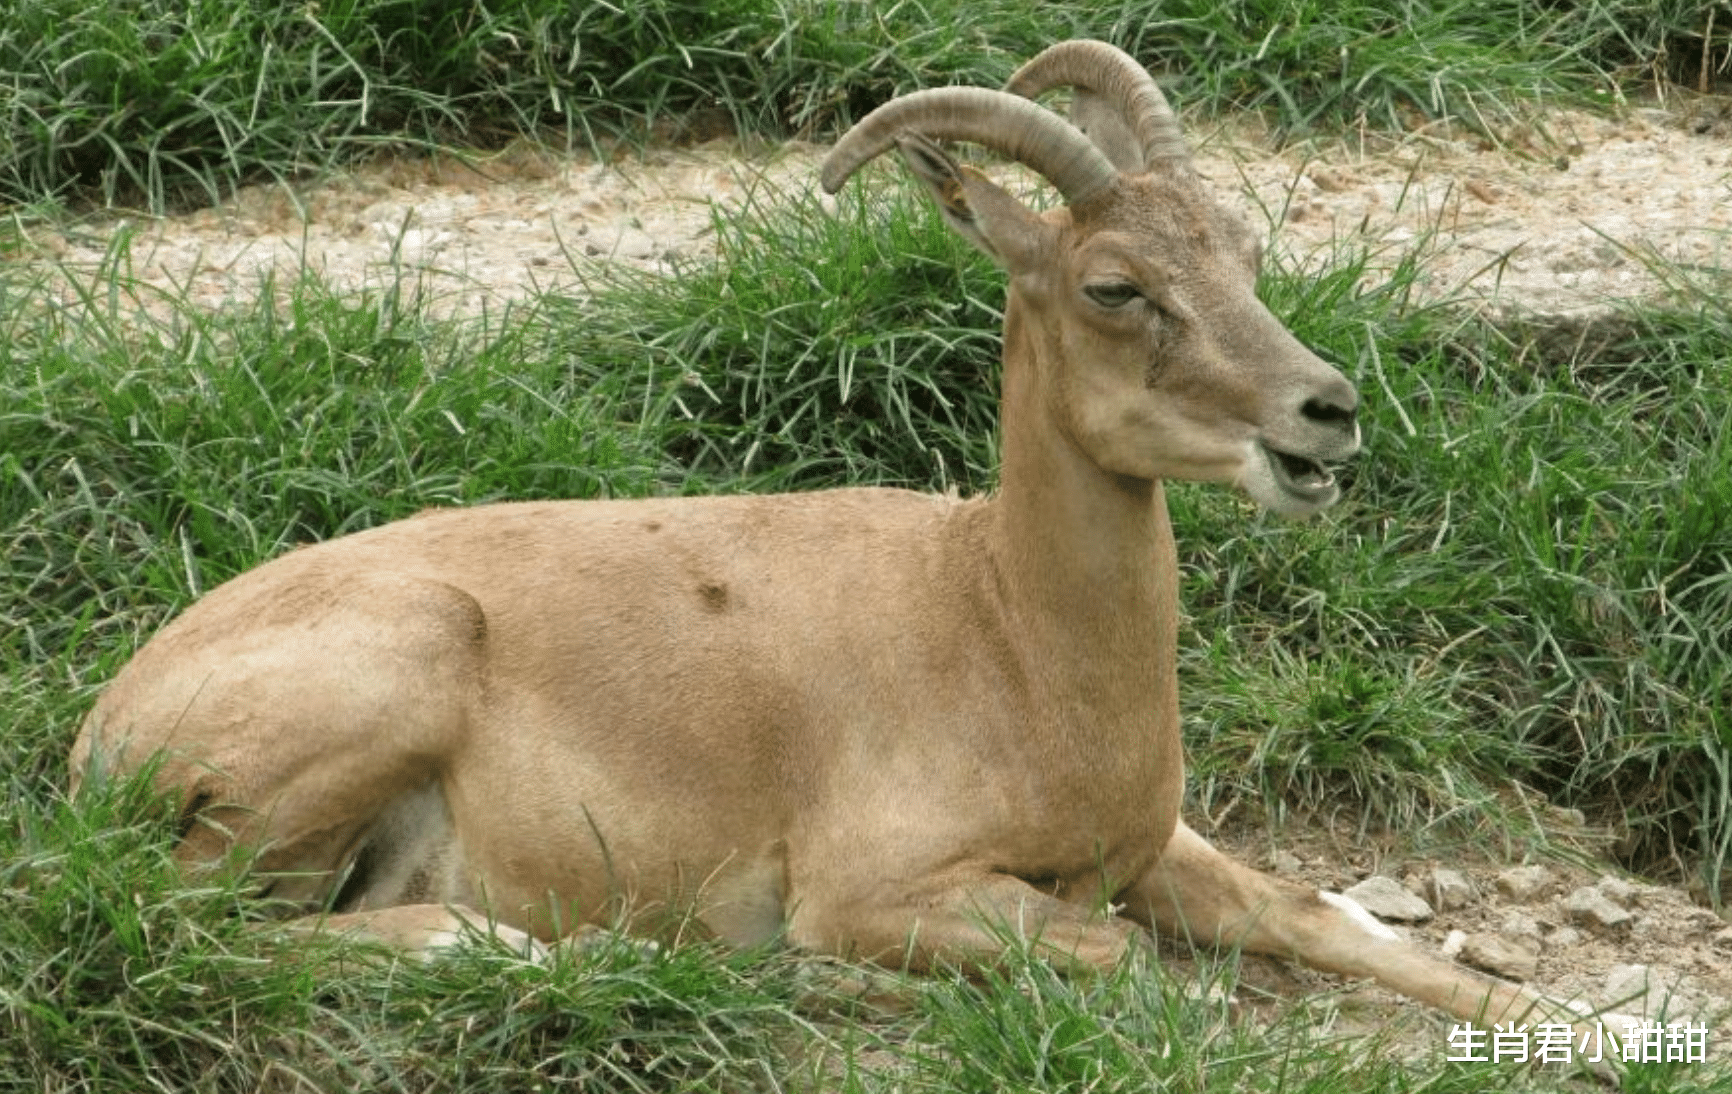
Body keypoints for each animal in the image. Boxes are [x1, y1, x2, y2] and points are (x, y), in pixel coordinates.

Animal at [77, 40, 1621, 1066]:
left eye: (1243, 249)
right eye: (1114, 286)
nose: (1325, 410)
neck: (1002, 629)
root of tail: (106, 734)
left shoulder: (1155, 839)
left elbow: (1337, 915)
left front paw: (1595, 1018)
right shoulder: (882, 880)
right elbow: (1131, 960)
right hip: (374, 691)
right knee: (180, 922)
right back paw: (508, 943)